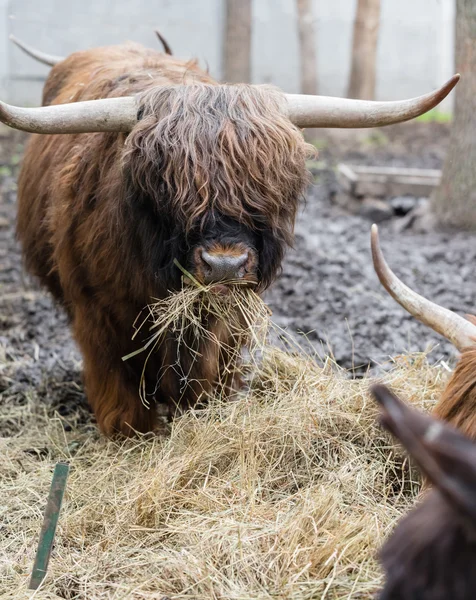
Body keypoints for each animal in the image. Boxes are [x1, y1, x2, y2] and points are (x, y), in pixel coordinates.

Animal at [1, 38, 460, 436]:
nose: (224, 265)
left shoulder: (228, 322)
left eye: (273, 190)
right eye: (164, 187)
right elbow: (122, 398)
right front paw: (128, 440)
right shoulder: (97, 314)